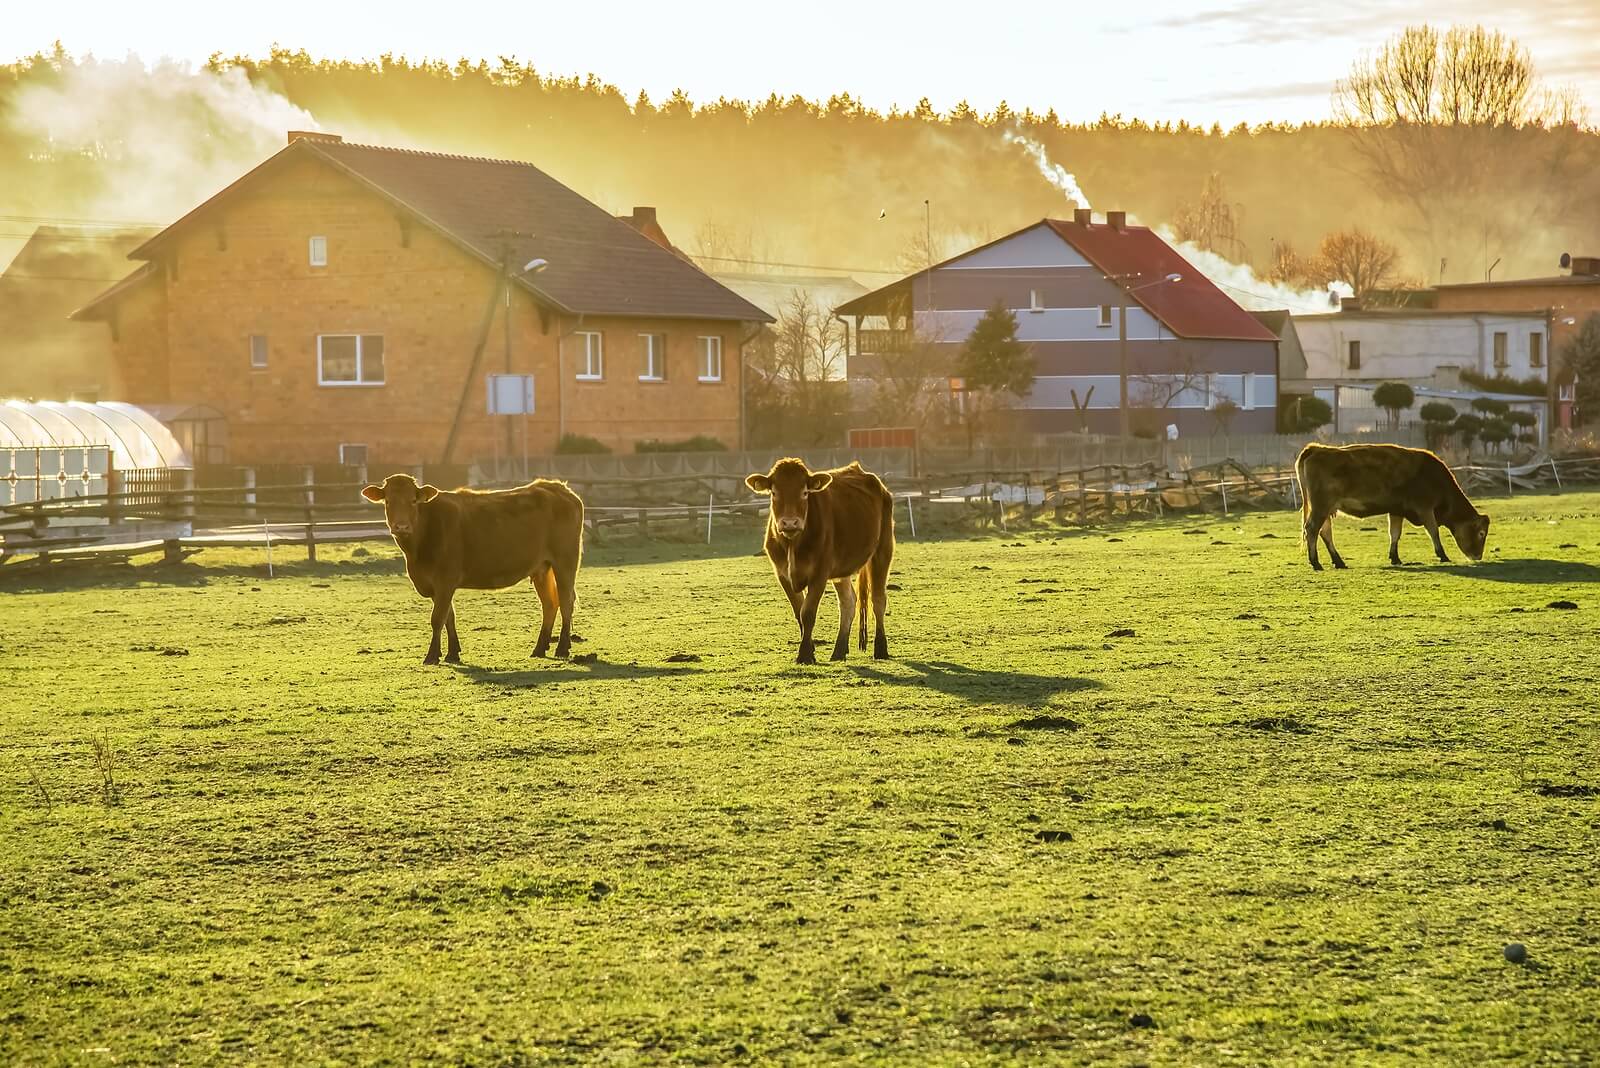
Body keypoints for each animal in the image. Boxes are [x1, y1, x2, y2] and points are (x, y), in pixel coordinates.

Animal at [360, 473, 585, 661]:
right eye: (388, 501)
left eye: (413, 501)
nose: (401, 527)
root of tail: (557, 487)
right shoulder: (436, 586)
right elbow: (449, 617)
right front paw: (452, 653)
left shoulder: (445, 580)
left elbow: (437, 618)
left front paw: (432, 656)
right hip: (541, 568)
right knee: (550, 603)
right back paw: (539, 648)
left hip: (565, 562)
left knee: (566, 602)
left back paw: (562, 648)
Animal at [742, 460, 896, 668]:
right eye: (774, 492)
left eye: (805, 492)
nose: (789, 523)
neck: (793, 544)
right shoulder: (782, 574)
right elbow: (799, 611)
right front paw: (811, 651)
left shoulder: (819, 574)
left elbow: (808, 612)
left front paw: (805, 655)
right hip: (842, 570)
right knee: (848, 602)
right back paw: (838, 651)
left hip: (883, 550)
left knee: (878, 599)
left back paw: (880, 649)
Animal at [1286, 441, 1484, 572]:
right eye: (1481, 533)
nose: (1478, 556)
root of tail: (1316, 449)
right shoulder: (1425, 508)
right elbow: (1433, 531)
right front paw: (1443, 555)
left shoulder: (1396, 510)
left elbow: (1395, 534)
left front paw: (1395, 558)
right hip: (1320, 507)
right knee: (1312, 529)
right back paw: (1316, 562)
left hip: (1325, 509)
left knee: (1325, 532)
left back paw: (1338, 561)